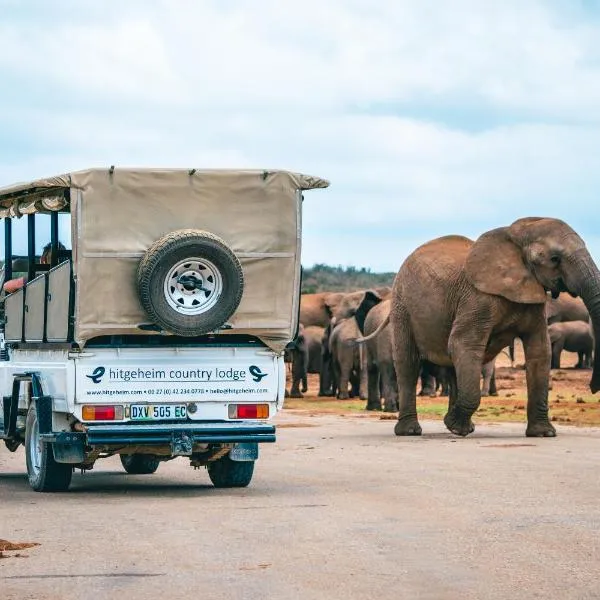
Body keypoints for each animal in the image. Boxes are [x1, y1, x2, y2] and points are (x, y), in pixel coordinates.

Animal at [356, 218, 600, 438]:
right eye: (554, 259)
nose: (592, 388)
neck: (517, 235)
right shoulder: (477, 299)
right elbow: (464, 344)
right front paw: (453, 425)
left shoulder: (534, 297)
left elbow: (539, 351)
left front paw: (543, 434)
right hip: (403, 306)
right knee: (408, 361)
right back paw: (411, 431)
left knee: (452, 361)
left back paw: (462, 428)